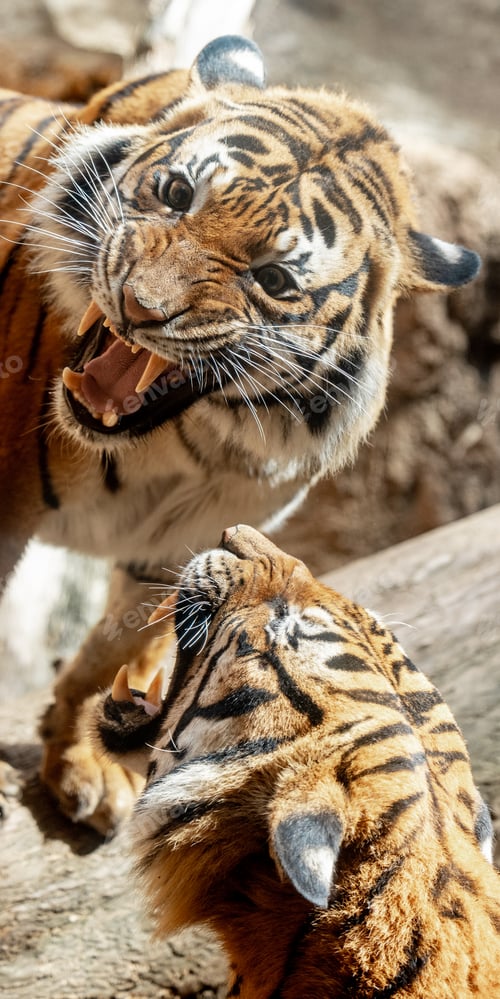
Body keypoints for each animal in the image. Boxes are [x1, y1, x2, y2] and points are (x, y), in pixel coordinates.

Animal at [0, 35, 480, 835]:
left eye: (277, 280)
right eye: (174, 193)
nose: (138, 305)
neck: (180, 441)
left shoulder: (174, 550)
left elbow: (106, 654)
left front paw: (83, 761)